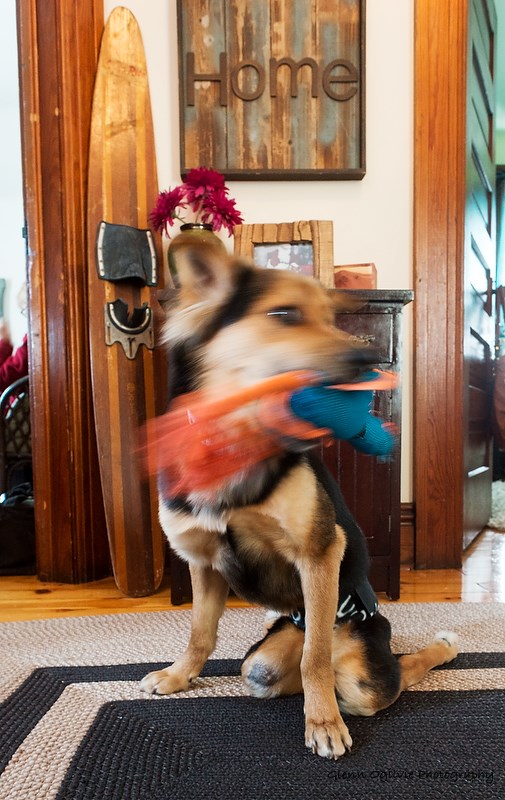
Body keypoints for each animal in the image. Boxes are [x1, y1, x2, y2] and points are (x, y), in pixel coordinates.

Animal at [141, 236, 456, 756]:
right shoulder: (203, 562)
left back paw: (440, 648)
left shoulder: (319, 552)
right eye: (285, 314)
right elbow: (200, 633)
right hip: (266, 658)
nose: (368, 362)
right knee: (273, 672)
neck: (235, 444)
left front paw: (323, 723)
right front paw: (179, 676)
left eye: (332, 317)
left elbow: (316, 660)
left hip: (363, 663)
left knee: (389, 669)